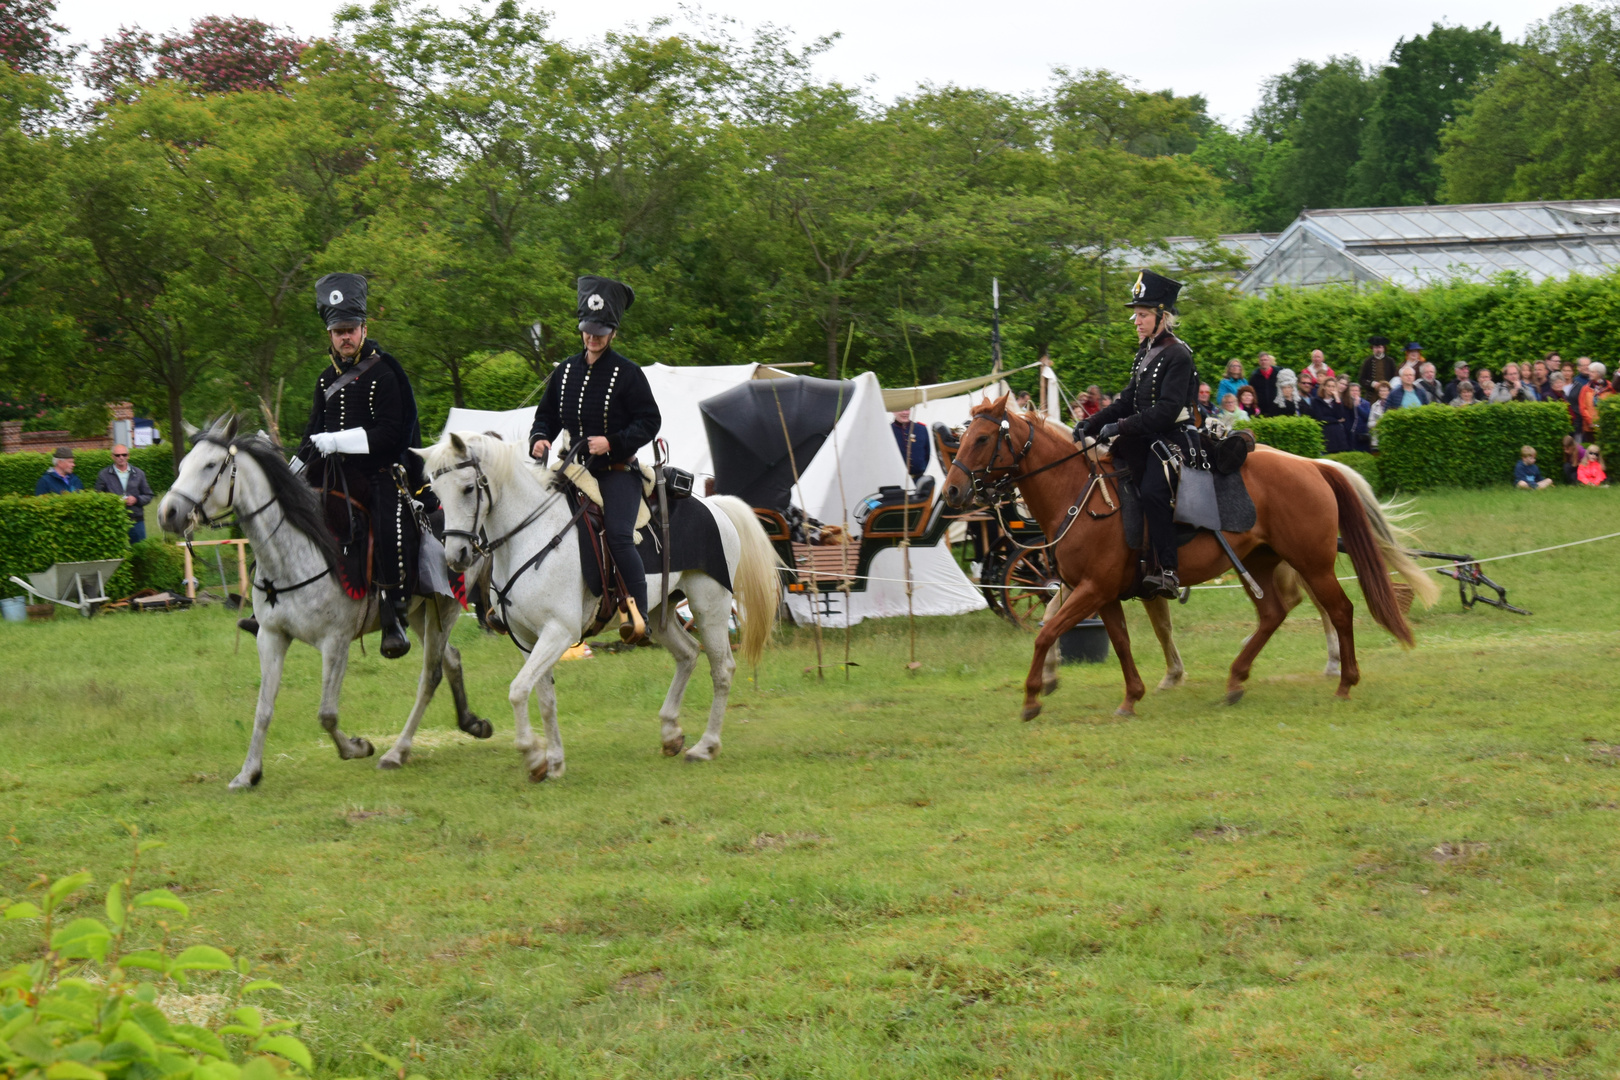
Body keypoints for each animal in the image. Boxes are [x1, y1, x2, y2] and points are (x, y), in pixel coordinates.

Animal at [157, 417, 489, 790]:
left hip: (446, 607)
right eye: (183, 465)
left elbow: (326, 714)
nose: (168, 513)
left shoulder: (336, 642)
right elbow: (263, 708)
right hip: (420, 611)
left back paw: (398, 752)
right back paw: (471, 723)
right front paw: (248, 773)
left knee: (431, 673)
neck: (293, 554)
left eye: (211, 465)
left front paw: (357, 747)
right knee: (451, 659)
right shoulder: (271, 637)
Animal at [414, 427, 774, 777]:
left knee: (722, 668)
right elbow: (543, 697)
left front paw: (534, 755)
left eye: (468, 488)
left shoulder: (558, 632)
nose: (456, 556)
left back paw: (706, 746)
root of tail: (715, 506)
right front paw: (554, 761)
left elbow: (517, 690)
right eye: (436, 493)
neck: (531, 536)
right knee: (687, 654)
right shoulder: (527, 639)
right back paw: (671, 733)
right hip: (661, 612)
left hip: (709, 604)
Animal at [946, 396, 1438, 718]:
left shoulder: (1092, 589)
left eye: (983, 438)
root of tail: (1314, 465)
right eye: (962, 437)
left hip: (1311, 564)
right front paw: (1132, 695)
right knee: (1274, 613)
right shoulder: (1100, 593)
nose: (952, 491)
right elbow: (1117, 640)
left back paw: (1344, 681)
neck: (1081, 495)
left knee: (1338, 609)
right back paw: (1237, 679)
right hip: (1259, 563)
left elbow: (1046, 633)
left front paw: (1032, 696)